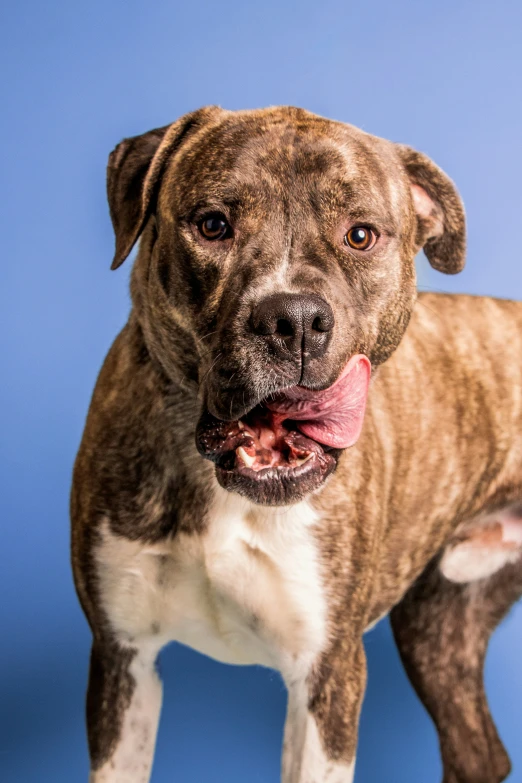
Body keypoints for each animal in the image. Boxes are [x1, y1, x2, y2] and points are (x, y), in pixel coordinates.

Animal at [70, 105, 520, 783]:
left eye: (361, 235)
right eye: (212, 224)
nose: (295, 320)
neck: (220, 490)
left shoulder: (326, 672)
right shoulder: (123, 658)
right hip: (440, 631)